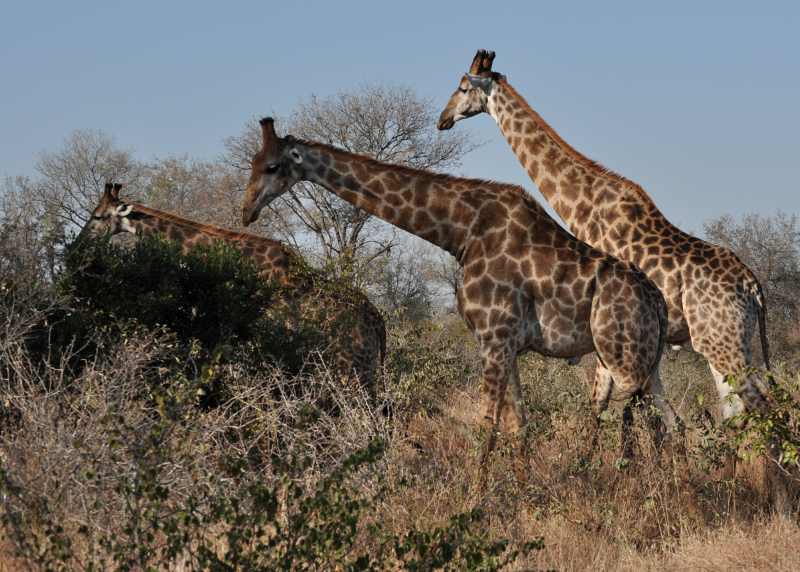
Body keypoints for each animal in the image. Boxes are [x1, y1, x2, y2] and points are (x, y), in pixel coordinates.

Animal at [241, 117, 676, 460]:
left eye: (273, 166)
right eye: (252, 163)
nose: (247, 210)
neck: (460, 232)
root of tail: (658, 301)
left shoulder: (494, 338)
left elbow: (487, 430)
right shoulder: (506, 345)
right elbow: (520, 427)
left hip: (625, 361)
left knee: (641, 420)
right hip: (644, 362)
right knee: (669, 419)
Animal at [437, 50, 773, 422]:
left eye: (462, 87)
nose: (443, 119)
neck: (583, 207)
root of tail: (754, 288)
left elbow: (599, 401)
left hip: (721, 341)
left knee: (763, 404)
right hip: (727, 340)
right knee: (735, 411)